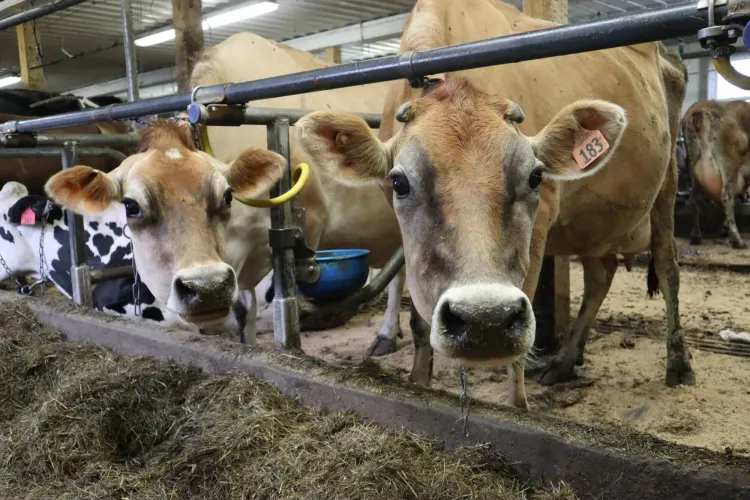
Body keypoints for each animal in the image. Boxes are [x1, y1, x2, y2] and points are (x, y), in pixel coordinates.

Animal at [292, 0, 691, 409]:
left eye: (535, 177)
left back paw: (678, 364)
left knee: (667, 265)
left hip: (667, 183)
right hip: (594, 219)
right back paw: (566, 360)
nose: (484, 319)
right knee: (601, 274)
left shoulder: (540, 227)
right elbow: (418, 316)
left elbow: (519, 343)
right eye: (399, 183)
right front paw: (419, 380)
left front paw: (517, 407)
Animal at [682, 99, 750, 249]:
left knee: (694, 198)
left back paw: (696, 237)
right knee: (727, 197)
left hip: (692, 165)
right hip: (729, 164)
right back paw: (738, 241)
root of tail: (700, 109)